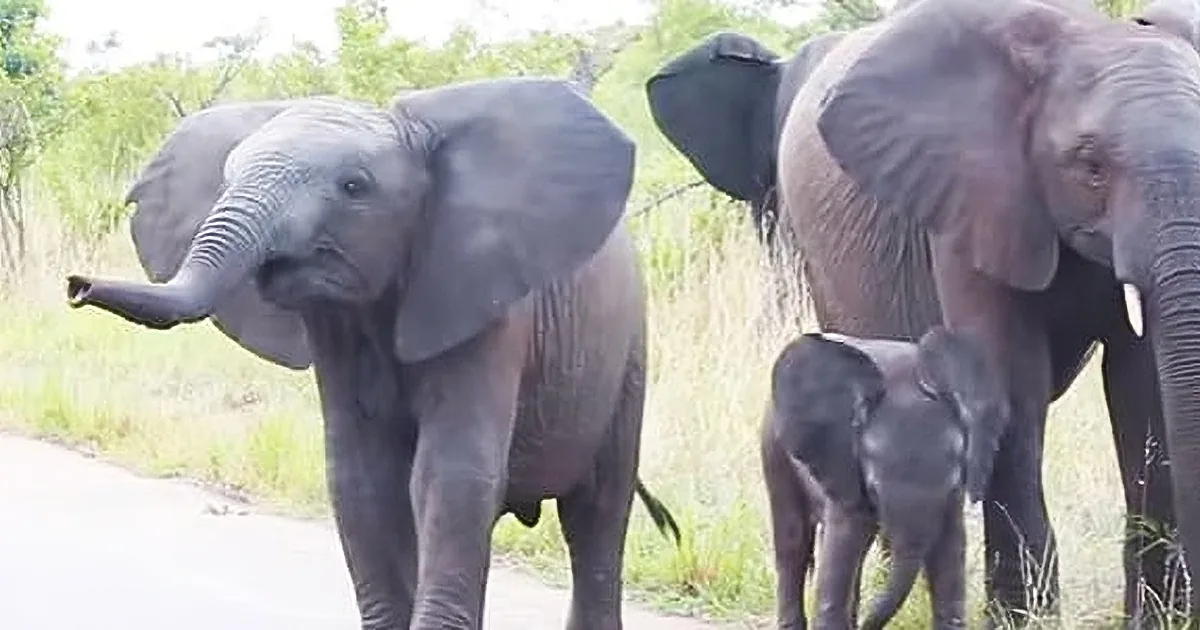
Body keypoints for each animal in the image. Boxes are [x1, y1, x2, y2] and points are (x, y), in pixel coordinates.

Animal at [63, 78, 682, 630]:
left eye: (354, 187)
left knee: (596, 515)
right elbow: (361, 481)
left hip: (628, 352)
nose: (76, 285)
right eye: (225, 180)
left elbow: (451, 476)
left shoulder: (486, 302)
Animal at [761, 327, 1008, 630]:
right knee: (792, 540)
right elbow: (841, 546)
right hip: (773, 446)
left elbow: (950, 551)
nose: (867, 626)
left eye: (952, 485)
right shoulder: (846, 465)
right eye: (874, 489)